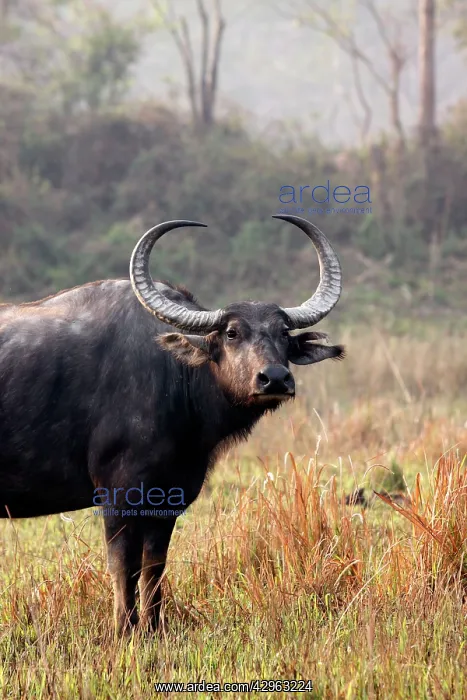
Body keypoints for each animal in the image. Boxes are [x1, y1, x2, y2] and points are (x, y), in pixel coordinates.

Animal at [0, 214, 344, 634]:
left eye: (283, 334)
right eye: (232, 333)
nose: (275, 378)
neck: (174, 376)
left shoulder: (168, 500)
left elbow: (154, 568)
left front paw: (152, 629)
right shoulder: (118, 496)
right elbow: (123, 567)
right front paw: (124, 629)